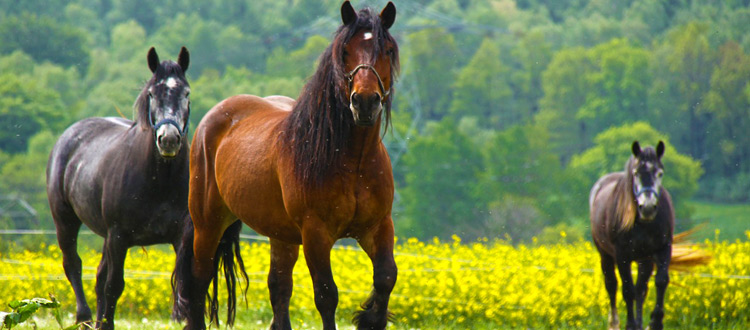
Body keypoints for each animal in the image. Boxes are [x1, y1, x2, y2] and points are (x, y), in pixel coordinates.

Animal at [47, 47, 206, 330]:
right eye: (152, 94)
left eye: (186, 93)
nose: (168, 139)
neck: (158, 180)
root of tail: (69, 135)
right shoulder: (119, 236)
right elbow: (114, 286)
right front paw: (105, 322)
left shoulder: (181, 235)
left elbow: (183, 285)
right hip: (66, 221)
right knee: (74, 265)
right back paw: (85, 318)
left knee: (98, 276)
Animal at [176, 1, 402, 328]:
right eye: (345, 51)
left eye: (387, 49)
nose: (365, 102)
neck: (353, 161)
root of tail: (213, 117)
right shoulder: (316, 233)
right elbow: (326, 294)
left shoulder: (378, 226)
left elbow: (386, 277)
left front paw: (370, 317)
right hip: (208, 224)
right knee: (199, 281)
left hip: (280, 235)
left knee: (279, 289)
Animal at [592, 141, 676, 330]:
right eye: (636, 173)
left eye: (660, 173)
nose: (648, 207)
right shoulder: (622, 255)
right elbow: (627, 290)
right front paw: (630, 324)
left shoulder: (663, 248)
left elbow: (660, 281)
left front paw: (655, 322)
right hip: (605, 255)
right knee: (612, 285)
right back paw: (614, 323)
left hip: (645, 259)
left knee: (641, 290)